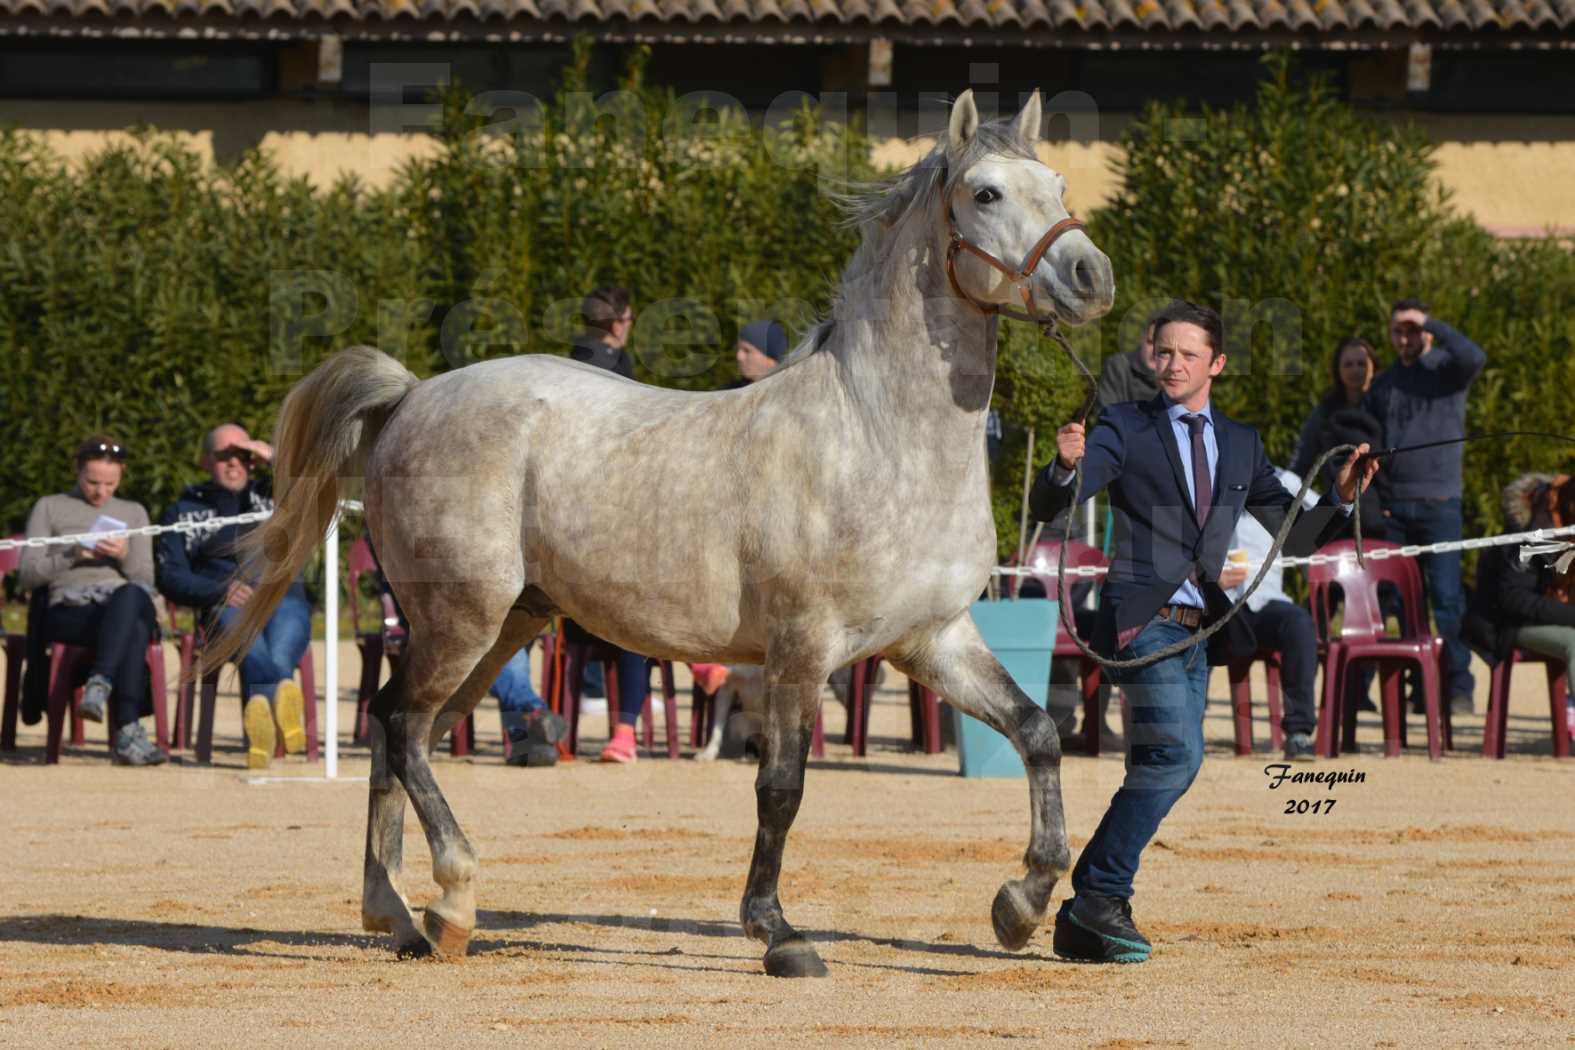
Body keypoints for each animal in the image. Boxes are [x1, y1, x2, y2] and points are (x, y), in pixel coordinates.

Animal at [209, 90, 1121, 976]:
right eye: (986, 193)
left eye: (1058, 188)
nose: (1092, 277)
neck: (876, 434)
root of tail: (411, 397)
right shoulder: (800, 650)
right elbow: (781, 788)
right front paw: (778, 934)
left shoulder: (930, 640)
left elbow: (1038, 733)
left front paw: (1020, 904)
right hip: (458, 618)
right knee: (399, 725)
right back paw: (452, 898)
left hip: (503, 627)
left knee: (404, 733)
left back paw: (401, 915)